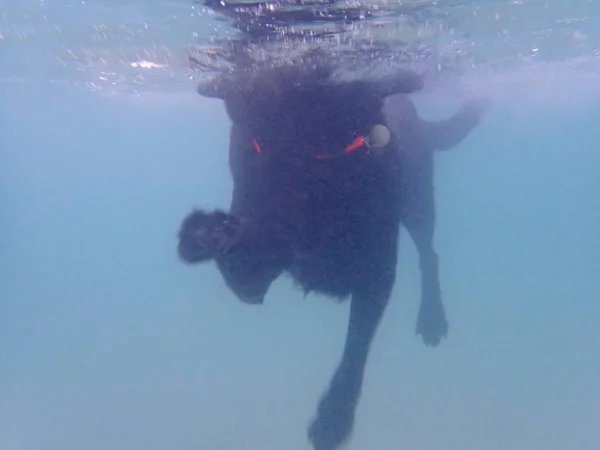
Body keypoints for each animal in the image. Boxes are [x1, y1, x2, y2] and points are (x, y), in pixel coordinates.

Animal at [178, 64, 488, 450]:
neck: (315, 176)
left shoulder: (376, 268)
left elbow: (356, 343)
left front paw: (334, 418)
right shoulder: (254, 250)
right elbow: (244, 265)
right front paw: (205, 233)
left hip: (417, 200)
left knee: (428, 254)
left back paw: (432, 317)